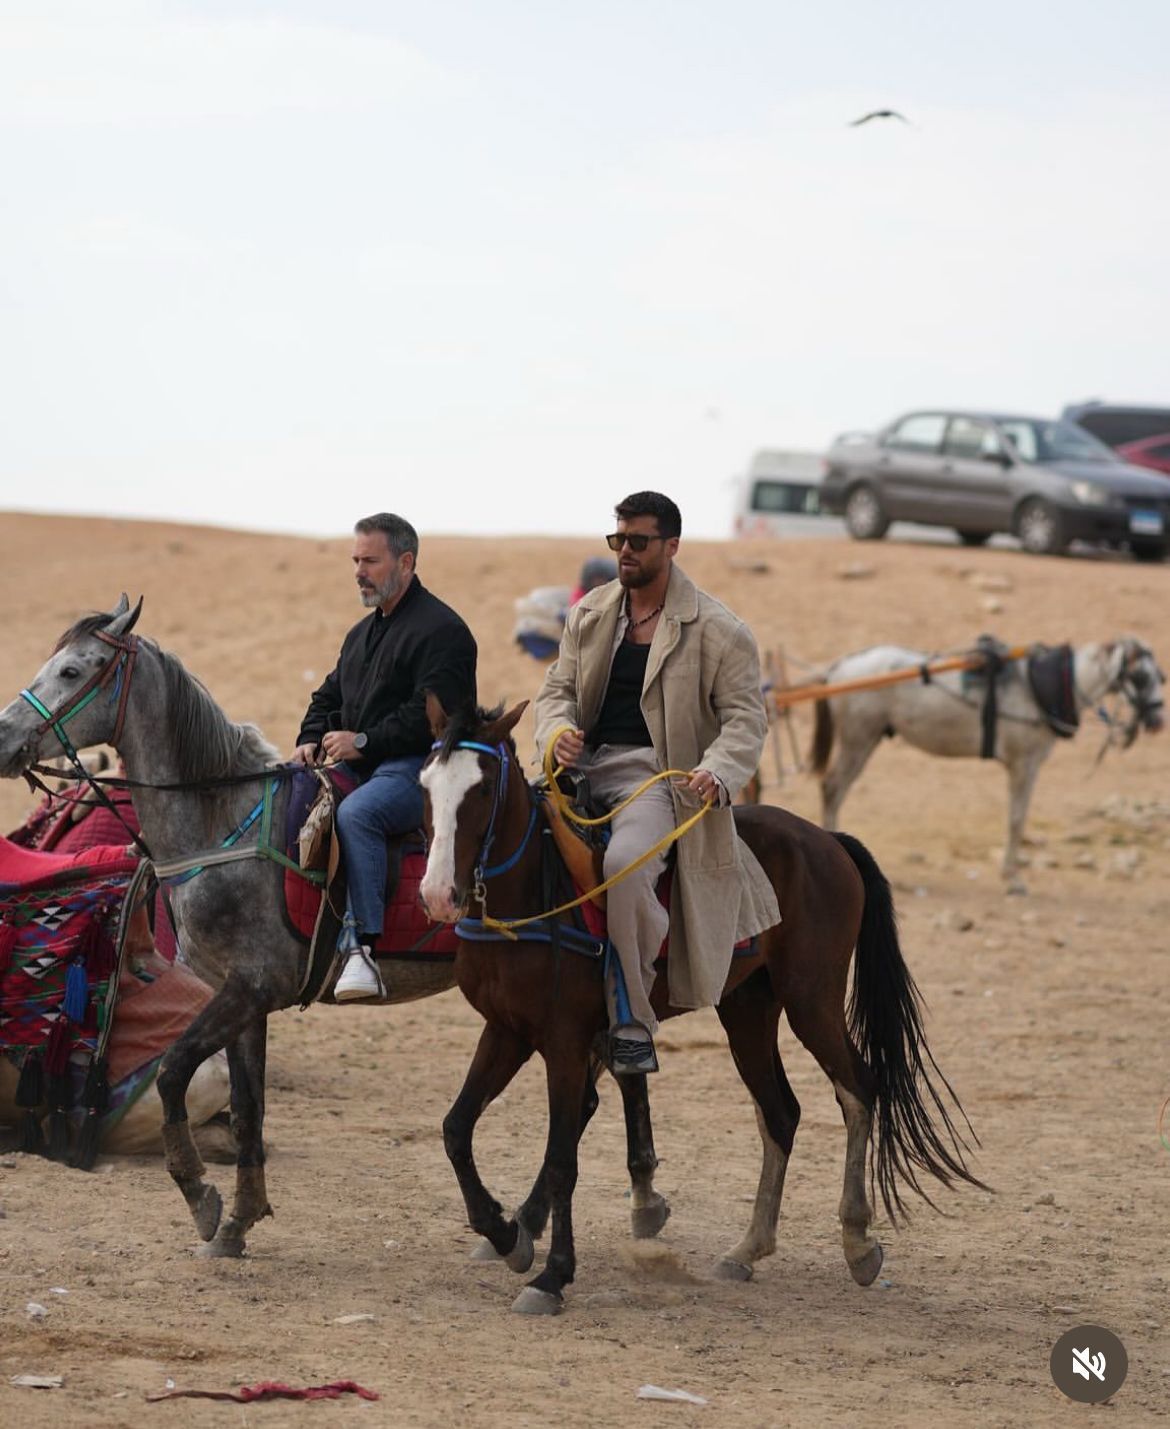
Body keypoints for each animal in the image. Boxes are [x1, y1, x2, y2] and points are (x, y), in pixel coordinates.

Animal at [0, 603, 668, 1263]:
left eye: (72, 670)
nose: (5, 738)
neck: (224, 824)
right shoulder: (242, 997)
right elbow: (247, 1111)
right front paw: (239, 1220)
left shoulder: (249, 989)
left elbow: (171, 1073)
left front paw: (202, 1199)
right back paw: (618, 1206)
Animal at [420, 697, 988, 1308]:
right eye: (425, 783)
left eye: (481, 789)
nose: (437, 895)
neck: (535, 896)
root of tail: (827, 839)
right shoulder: (506, 1031)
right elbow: (456, 1130)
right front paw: (505, 1235)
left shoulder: (565, 1044)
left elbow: (560, 1161)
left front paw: (552, 1275)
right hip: (747, 1010)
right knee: (781, 1113)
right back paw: (747, 1250)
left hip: (812, 1000)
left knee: (858, 1089)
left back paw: (858, 1243)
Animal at [817, 640, 1160, 880]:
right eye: (1141, 676)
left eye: (1162, 677)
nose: (1159, 720)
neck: (1040, 688)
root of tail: (838, 667)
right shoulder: (1024, 764)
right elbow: (1017, 818)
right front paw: (1012, 876)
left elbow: (1018, 817)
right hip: (858, 738)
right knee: (832, 788)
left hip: (867, 739)